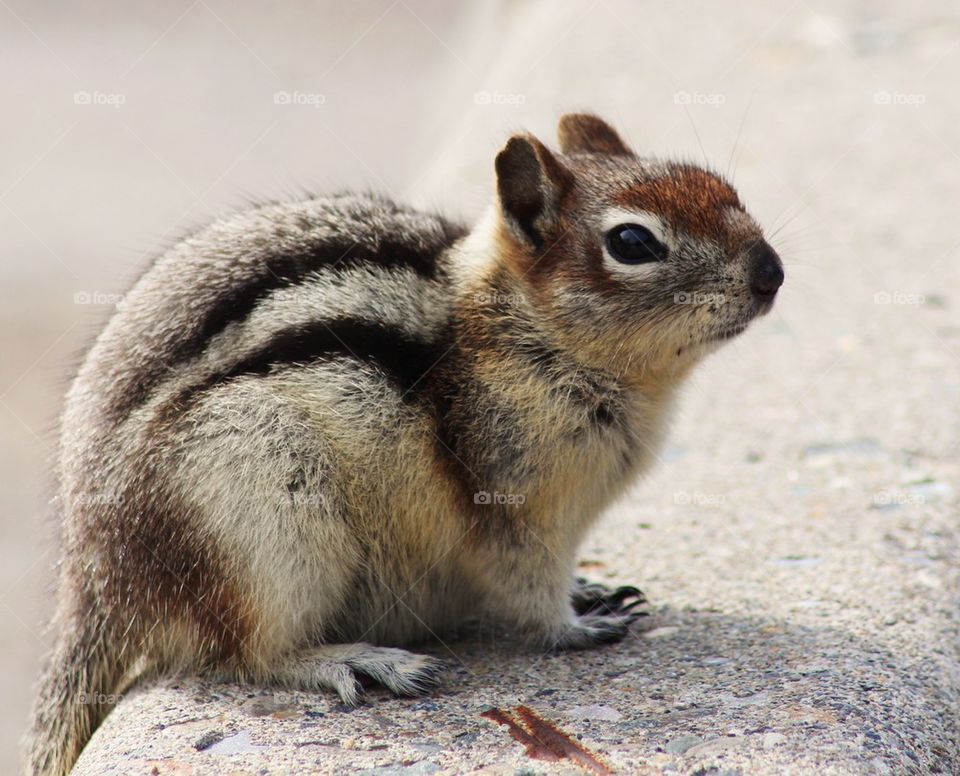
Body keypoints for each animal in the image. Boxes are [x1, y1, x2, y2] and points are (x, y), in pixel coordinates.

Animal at [25, 113, 783, 775]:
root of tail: (94, 578)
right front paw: (571, 624)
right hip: (258, 521)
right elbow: (527, 581)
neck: (514, 326)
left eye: (727, 190)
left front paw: (590, 589)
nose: (771, 272)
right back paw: (354, 660)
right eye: (633, 243)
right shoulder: (513, 504)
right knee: (244, 652)